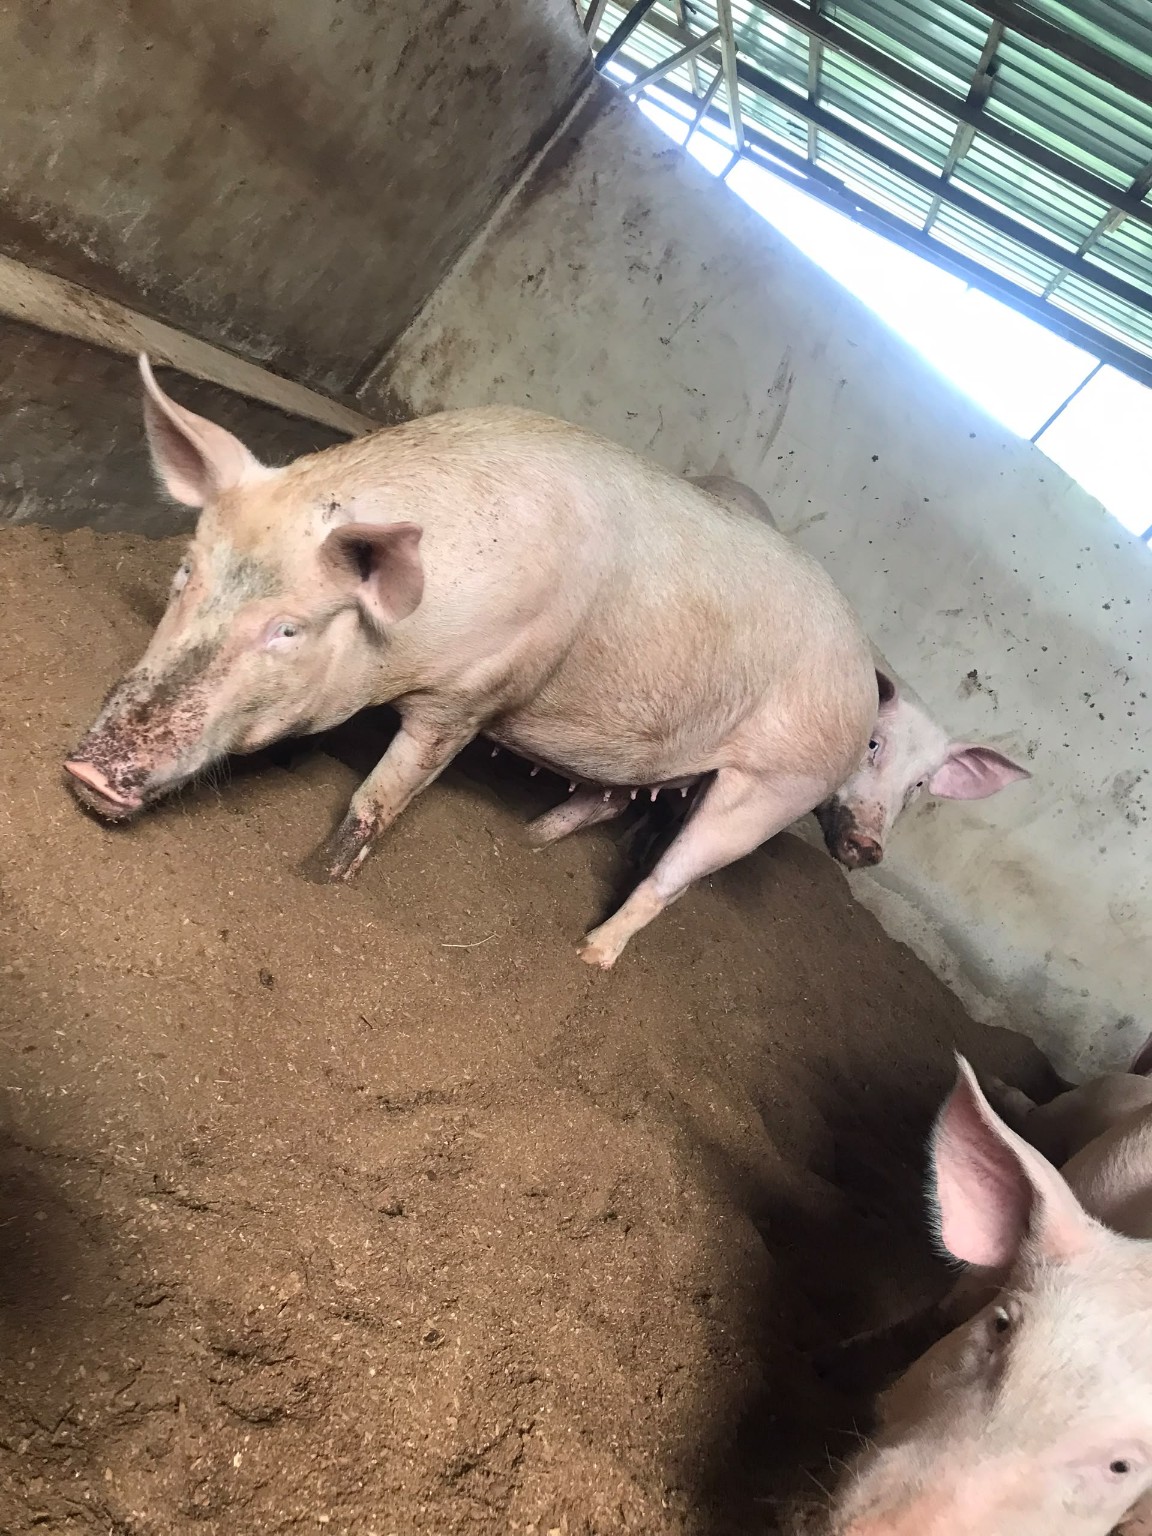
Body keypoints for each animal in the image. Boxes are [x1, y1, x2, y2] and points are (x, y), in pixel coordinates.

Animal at [64, 356, 877, 968]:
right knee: (611, 798)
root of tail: (866, 674)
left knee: (675, 875)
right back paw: (527, 842)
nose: (87, 772)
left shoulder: (474, 695)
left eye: (288, 630)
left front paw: (316, 884)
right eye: (185, 572)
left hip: (780, 785)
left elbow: (379, 802)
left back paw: (588, 955)